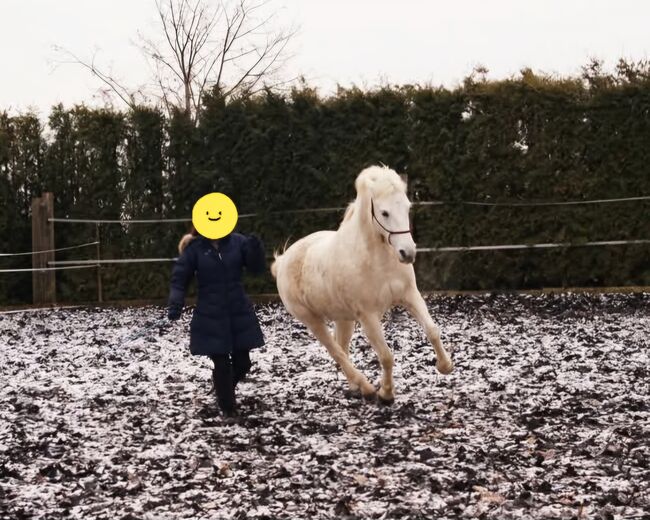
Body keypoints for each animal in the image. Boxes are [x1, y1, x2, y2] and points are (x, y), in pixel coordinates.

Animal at [270, 165, 450, 404]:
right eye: (384, 213)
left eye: (407, 207)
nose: (408, 253)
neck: (378, 261)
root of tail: (282, 261)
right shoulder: (368, 316)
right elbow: (386, 356)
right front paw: (386, 393)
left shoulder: (410, 296)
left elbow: (432, 330)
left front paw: (445, 366)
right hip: (311, 319)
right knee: (335, 351)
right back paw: (365, 387)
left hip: (343, 318)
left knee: (342, 347)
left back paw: (356, 386)